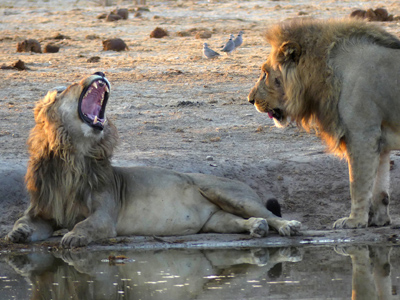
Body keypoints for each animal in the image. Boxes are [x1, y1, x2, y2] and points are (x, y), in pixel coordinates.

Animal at [6, 71, 300, 247]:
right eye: (64, 88)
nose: (100, 72)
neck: (73, 155)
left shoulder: (105, 216)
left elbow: (85, 223)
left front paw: (73, 236)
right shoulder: (43, 210)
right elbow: (23, 221)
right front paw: (16, 234)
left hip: (229, 194)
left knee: (267, 213)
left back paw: (287, 226)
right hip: (217, 220)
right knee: (242, 221)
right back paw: (256, 228)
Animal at [248, 18, 400, 230]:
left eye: (265, 73)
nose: (250, 99)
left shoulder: (362, 134)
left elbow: (358, 183)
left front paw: (354, 221)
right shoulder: (380, 139)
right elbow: (380, 187)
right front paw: (379, 221)